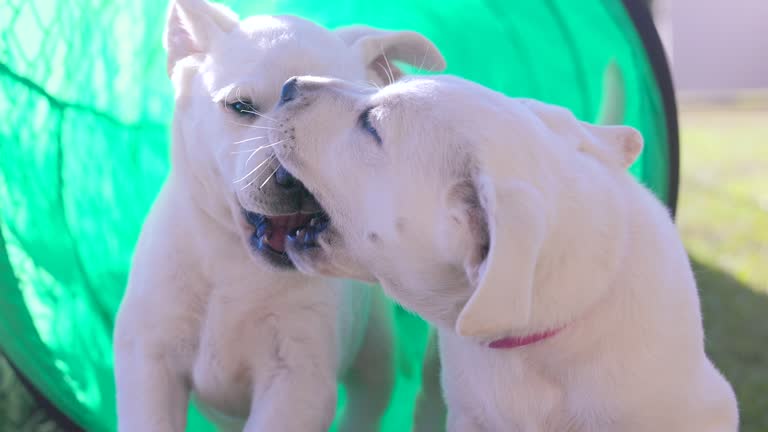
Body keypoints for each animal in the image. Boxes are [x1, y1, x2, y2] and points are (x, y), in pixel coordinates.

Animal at [113, 0, 444, 430]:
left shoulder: (297, 380)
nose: (298, 180)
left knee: (369, 398)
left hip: (374, 343)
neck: (233, 262)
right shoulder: (148, 354)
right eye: (240, 106)